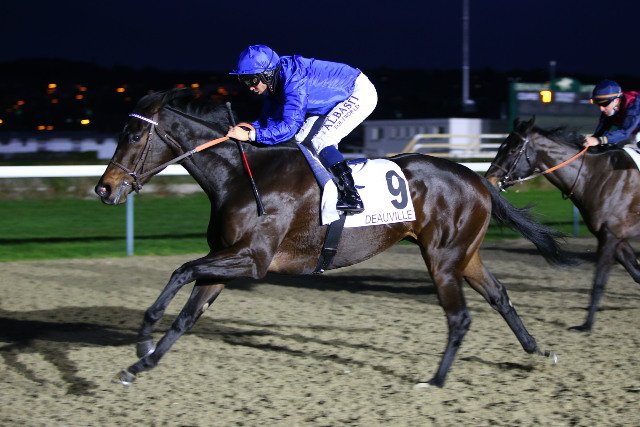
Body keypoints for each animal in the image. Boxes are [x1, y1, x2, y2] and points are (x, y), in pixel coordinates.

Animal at [95, 88, 573, 388]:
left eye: (133, 134)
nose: (104, 188)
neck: (241, 176)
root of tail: (477, 179)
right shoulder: (226, 258)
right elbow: (187, 316)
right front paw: (141, 363)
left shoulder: (252, 259)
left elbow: (180, 271)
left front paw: (144, 333)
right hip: (466, 256)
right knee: (499, 296)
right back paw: (538, 351)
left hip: (442, 259)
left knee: (459, 317)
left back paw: (435, 381)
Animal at [485, 117, 640, 332]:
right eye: (501, 146)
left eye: (514, 150)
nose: (489, 179)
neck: (596, 176)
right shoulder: (615, 238)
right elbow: (636, 273)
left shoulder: (610, 236)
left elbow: (599, 281)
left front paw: (586, 325)